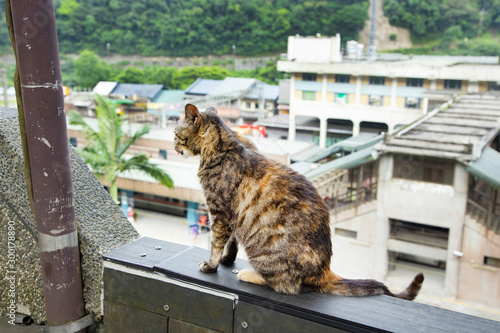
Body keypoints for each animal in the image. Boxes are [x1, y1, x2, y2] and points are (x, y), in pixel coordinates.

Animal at [174, 104, 424, 298]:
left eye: (176, 132)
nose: (175, 148)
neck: (225, 145)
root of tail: (324, 270)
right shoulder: (233, 215)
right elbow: (232, 242)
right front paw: (227, 260)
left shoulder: (219, 212)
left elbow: (216, 243)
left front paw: (212, 264)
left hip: (263, 250)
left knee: (286, 286)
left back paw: (250, 275)